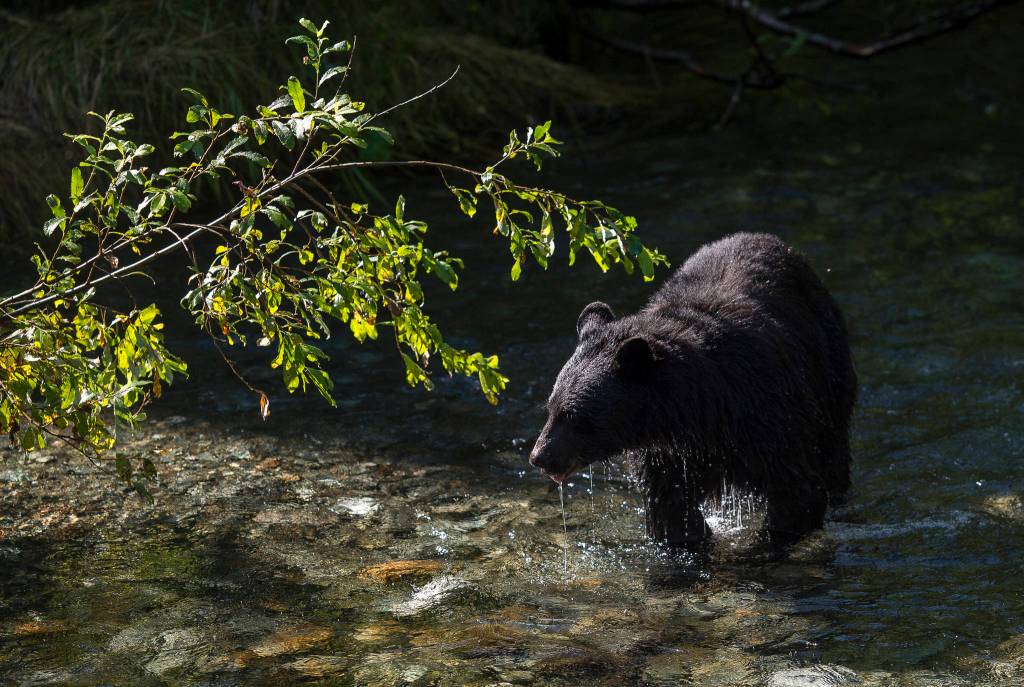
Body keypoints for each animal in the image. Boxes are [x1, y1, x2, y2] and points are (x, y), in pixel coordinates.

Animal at [529, 232, 856, 548]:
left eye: (574, 416)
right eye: (550, 408)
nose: (539, 457)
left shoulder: (767, 415)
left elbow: (795, 491)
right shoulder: (666, 457)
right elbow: (673, 512)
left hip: (828, 367)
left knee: (833, 453)